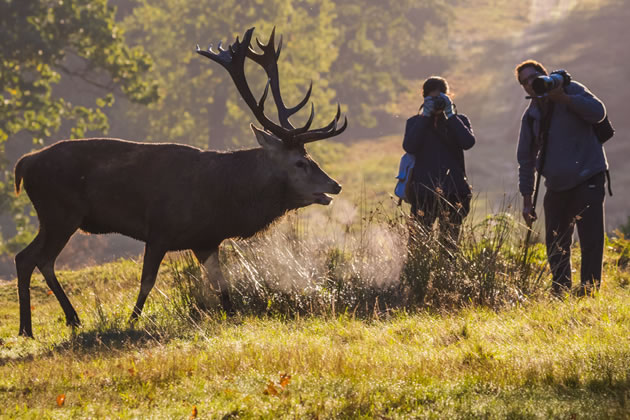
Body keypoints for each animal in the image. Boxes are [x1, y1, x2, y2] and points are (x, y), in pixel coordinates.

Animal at [12, 27, 348, 338]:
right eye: (300, 162)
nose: (335, 185)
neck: (224, 200)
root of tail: (24, 162)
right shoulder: (159, 230)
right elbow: (147, 281)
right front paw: (131, 321)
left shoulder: (207, 240)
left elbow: (221, 285)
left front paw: (232, 316)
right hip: (60, 212)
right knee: (40, 258)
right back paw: (56, 321)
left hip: (52, 217)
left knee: (26, 257)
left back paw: (37, 326)